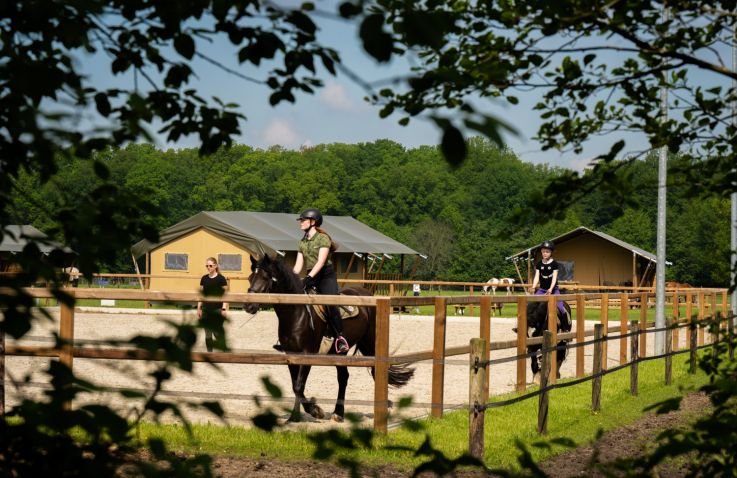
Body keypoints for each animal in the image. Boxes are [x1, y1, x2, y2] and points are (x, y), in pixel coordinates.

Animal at [243, 254, 412, 422]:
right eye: (250, 278)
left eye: (265, 277)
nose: (248, 306)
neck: (297, 313)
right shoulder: (290, 355)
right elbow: (295, 385)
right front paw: (296, 416)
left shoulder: (307, 354)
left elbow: (299, 385)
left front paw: (314, 411)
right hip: (339, 352)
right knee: (343, 377)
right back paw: (338, 413)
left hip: (370, 342)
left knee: (376, 370)